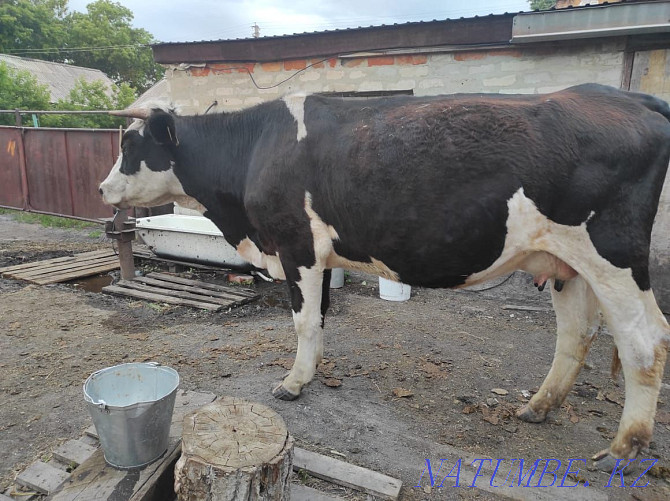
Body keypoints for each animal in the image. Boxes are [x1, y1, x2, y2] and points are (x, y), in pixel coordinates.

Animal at [101, 84, 670, 470]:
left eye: (131, 148)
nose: (103, 189)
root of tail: (624, 97)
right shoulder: (317, 255)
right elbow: (320, 317)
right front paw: (313, 371)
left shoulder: (296, 245)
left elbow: (302, 320)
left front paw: (293, 383)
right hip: (567, 263)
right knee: (576, 334)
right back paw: (538, 407)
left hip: (613, 256)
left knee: (645, 340)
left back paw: (624, 448)